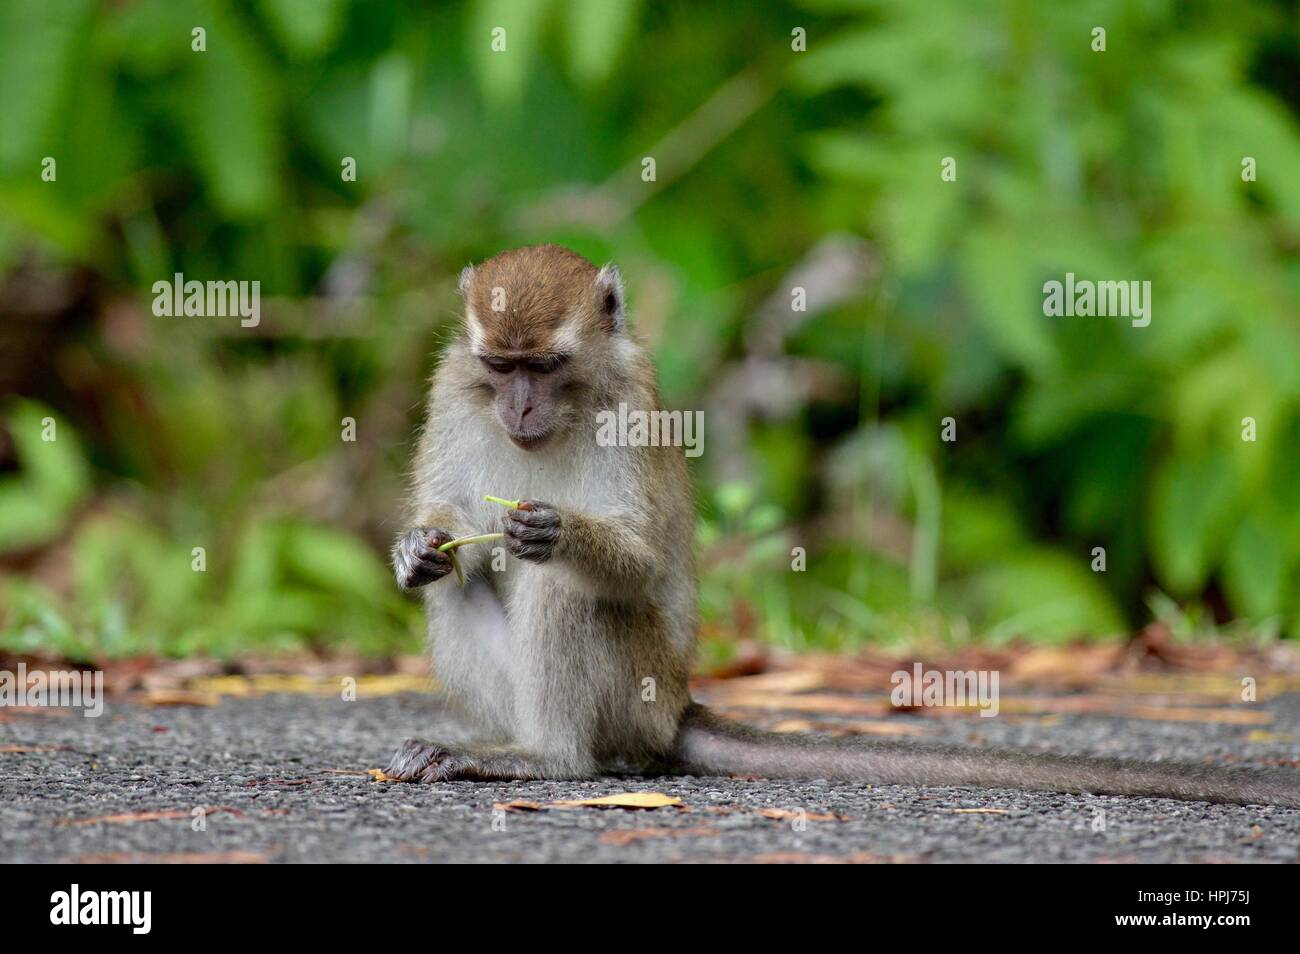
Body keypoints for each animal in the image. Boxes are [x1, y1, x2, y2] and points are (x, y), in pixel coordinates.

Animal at [386, 244, 1300, 810]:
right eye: (499, 366)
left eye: (545, 365)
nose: (517, 408)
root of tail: (677, 705)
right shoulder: (453, 387)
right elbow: (449, 537)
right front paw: (416, 547)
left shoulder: (633, 402)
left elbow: (638, 564)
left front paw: (558, 535)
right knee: (459, 587)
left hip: (637, 696)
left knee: (566, 598)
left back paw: (551, 756)